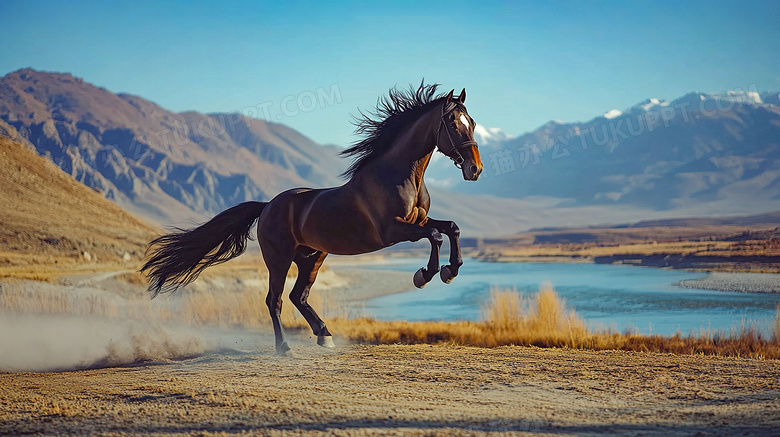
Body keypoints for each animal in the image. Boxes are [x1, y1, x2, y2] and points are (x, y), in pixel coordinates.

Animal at [140, 82, 482, 354]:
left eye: (473, 122)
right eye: (453, 124)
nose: (475, 169)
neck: (399, 175)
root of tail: (267, 206)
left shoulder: (418, 222)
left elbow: (451, 228)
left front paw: (450, 271)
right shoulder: (392, 231)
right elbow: (435, 236)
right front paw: (426, 275)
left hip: (312, 257)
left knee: (297, 296)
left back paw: (324, 335)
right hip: (278, 259)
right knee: (275, 300)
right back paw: (284, 348)